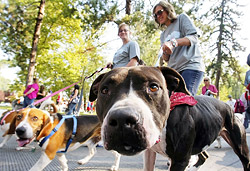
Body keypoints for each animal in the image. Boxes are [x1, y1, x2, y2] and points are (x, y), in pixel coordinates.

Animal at [90, 66, 250, 171]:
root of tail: (228, 106)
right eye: (104, 90)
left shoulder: (179, 160)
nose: (122, 119)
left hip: (240, 146)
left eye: (154, 87)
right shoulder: (150, 153)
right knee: (203, 156)